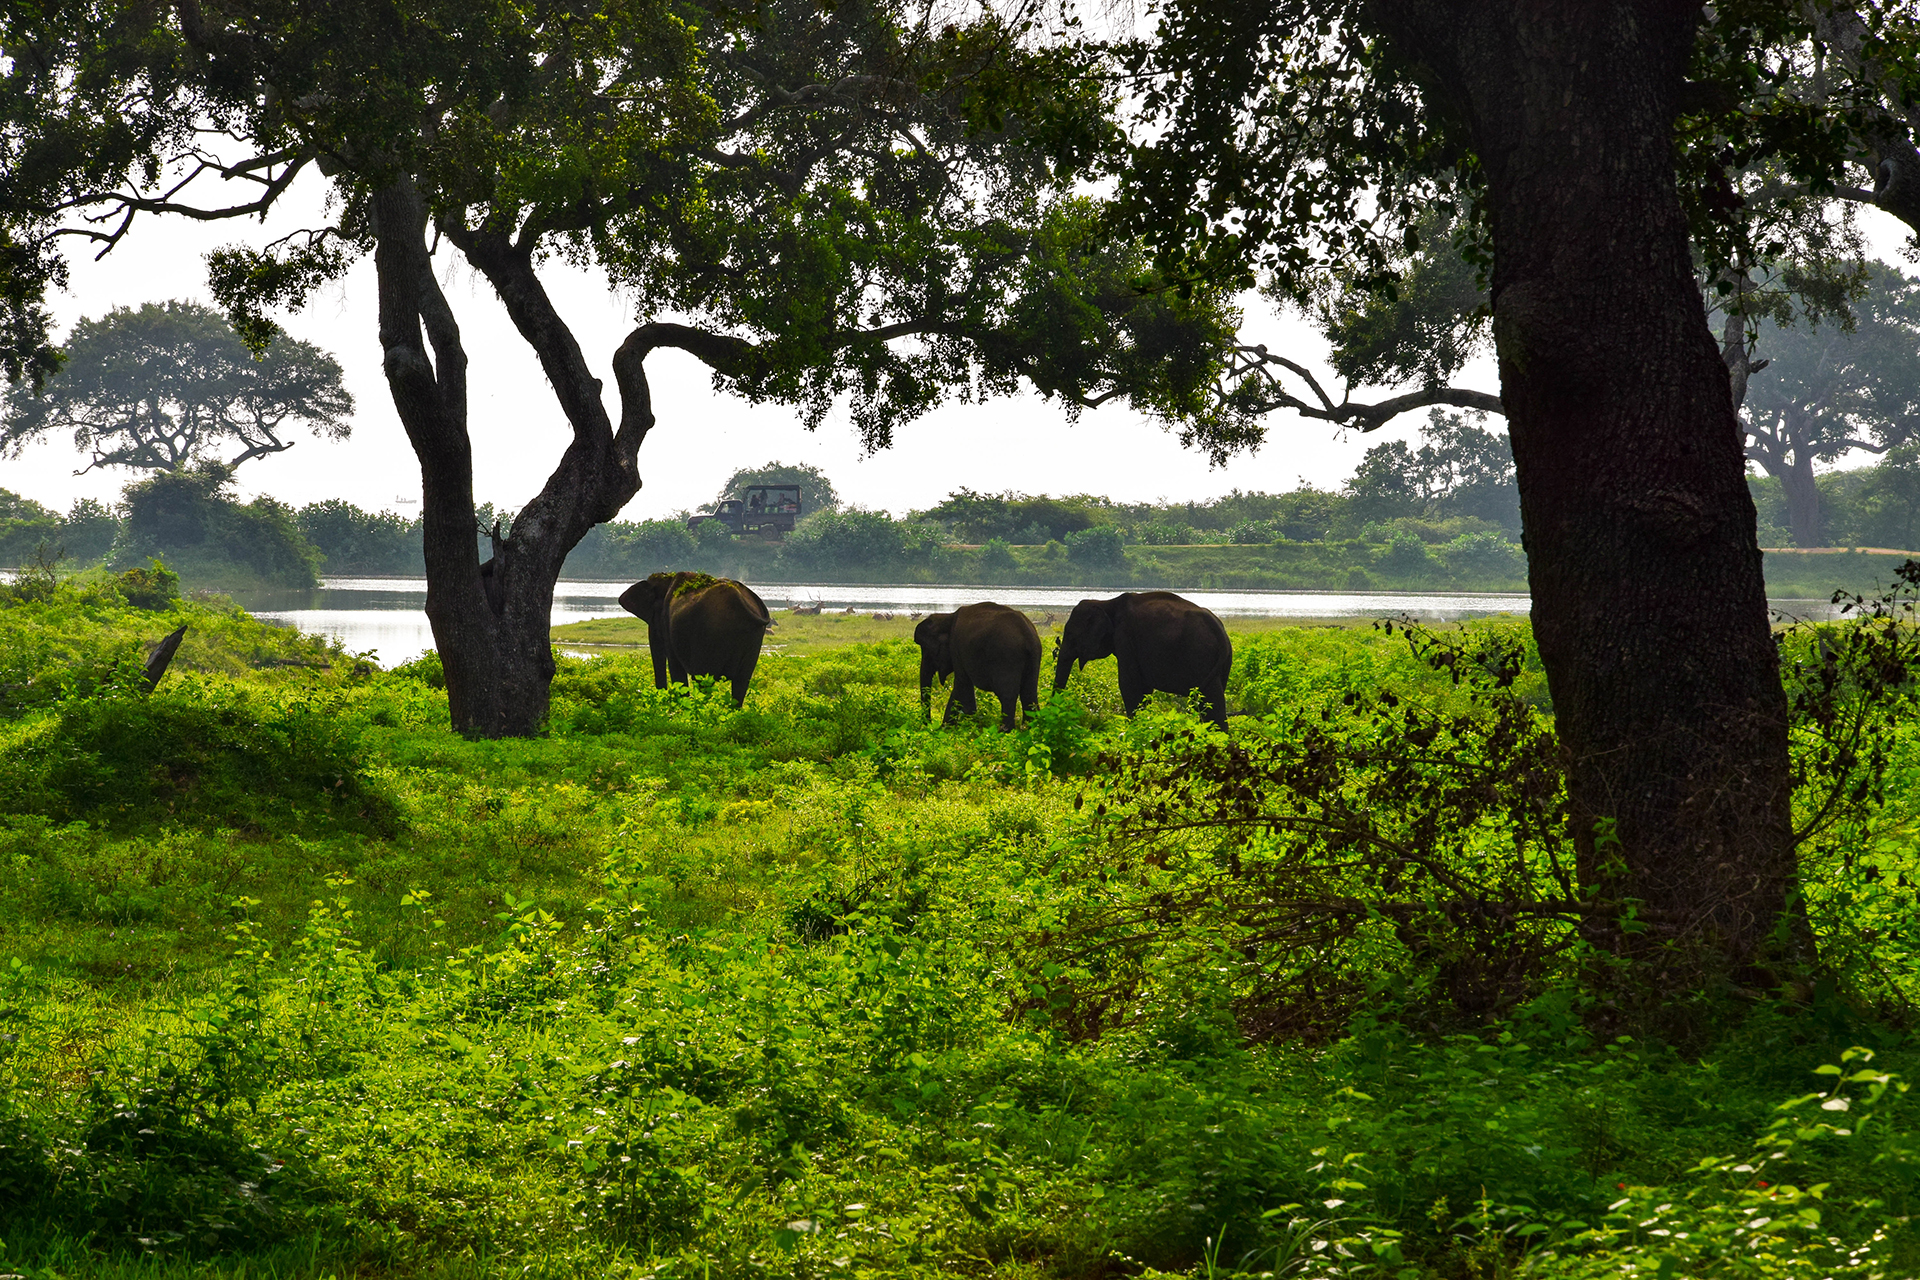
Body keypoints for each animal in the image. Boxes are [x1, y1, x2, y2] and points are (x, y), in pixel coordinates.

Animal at [914, 602, 1042, 730]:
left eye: (927, 649)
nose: (929, 724)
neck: (947, 617)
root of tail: (1028, 634)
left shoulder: (957, 647)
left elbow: (961, 684)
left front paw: (965, 726)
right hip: (1033, 657)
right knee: (1029, 693)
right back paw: (1029, 729)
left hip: (1007, 656)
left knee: (1007, 695)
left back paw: (1004, 731)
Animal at [1054, 591, 1232, 729]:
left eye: (1070, 635)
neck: (1106, 603)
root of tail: (1221, 632)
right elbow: (1144, 689)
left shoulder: (1124, 637)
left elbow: (1129, 685)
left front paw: (1133, 728)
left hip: (1200, 656)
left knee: (1210, 700)